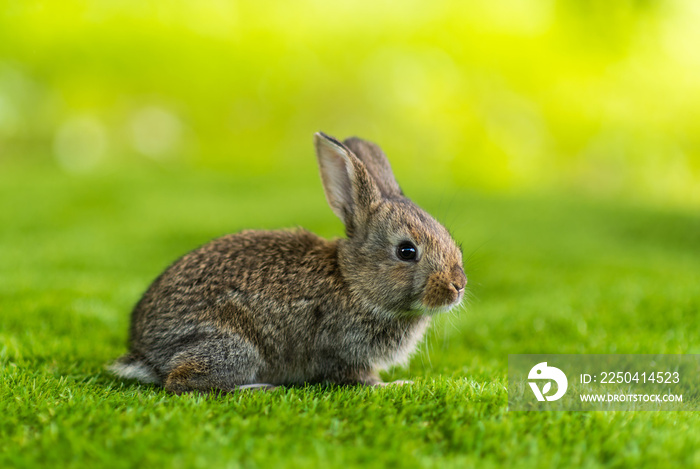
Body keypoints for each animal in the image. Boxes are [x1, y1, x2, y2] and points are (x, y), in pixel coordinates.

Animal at [109, 132, 468, 392]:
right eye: (406, 251)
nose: (458, 285)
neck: (352, 283)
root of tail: (147, 354)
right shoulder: (342, 350)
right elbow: (359, 380)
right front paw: (397, 385)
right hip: (234, 348)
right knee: (181, 383)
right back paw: (257, 388)